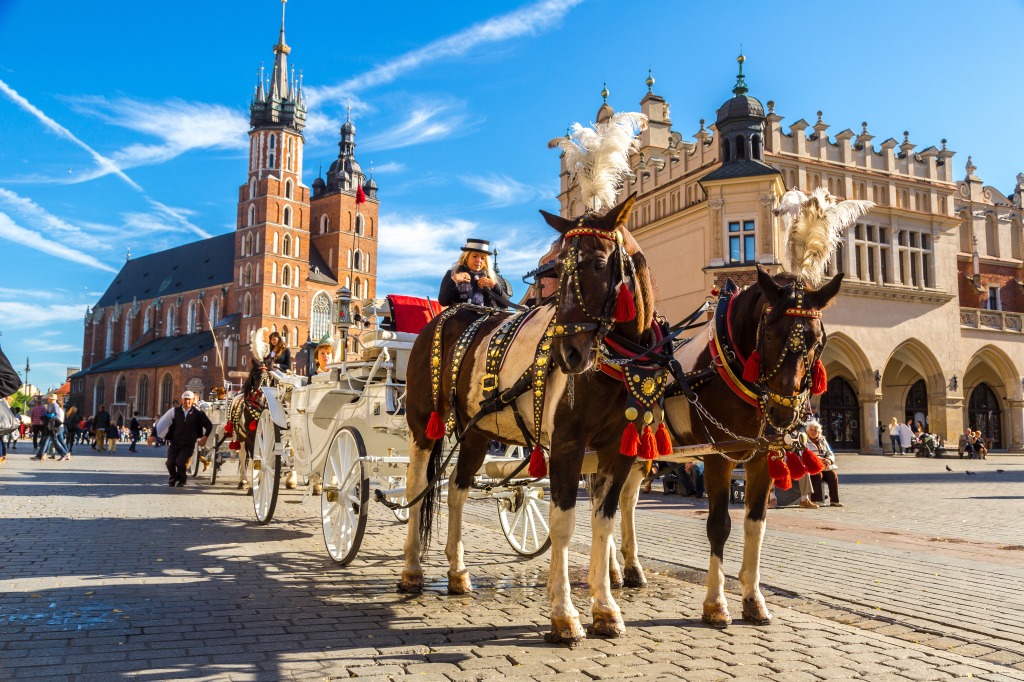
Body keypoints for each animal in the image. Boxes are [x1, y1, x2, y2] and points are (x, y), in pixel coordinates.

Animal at [395, 191, 659, 643]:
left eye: (600, 263)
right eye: (558, 268)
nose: (568, 354)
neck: (615, 361)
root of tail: (446, 315)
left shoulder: (618, 449)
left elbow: (603, 523)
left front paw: (605, 609)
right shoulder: (568, 445)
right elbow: (563, 524)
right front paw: (564, 614)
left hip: (476, 432)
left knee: (457, 488)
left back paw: (457, 572)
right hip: (422, 420)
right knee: (417, 484)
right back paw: (412, 569)